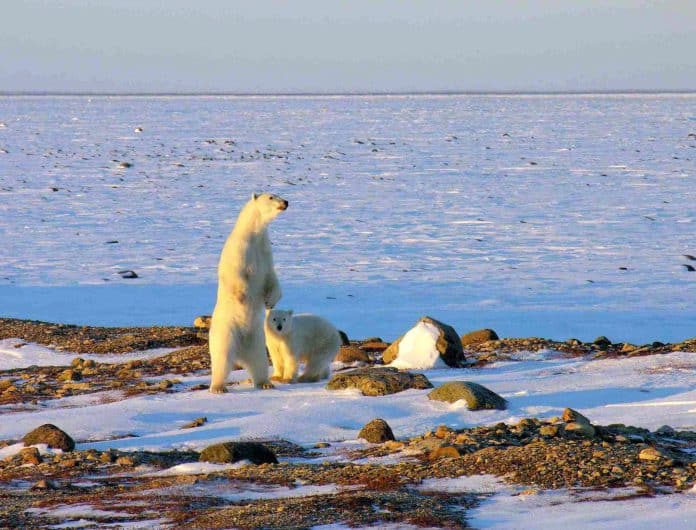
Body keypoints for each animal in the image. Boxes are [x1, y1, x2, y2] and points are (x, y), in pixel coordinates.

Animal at [208, 192, 288, 393]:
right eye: (271, 197)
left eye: (279, 195)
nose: (286, 202)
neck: (253, 235)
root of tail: (241, 351)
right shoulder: (240, 249)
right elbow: (236, 274)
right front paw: (242, 296)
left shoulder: (265, 251)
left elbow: (271, 276)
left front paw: (270, 301)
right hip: (226, 331)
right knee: (222, 358)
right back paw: (218, 387)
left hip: (257, 339)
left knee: (259, 361)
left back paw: (265, 382)